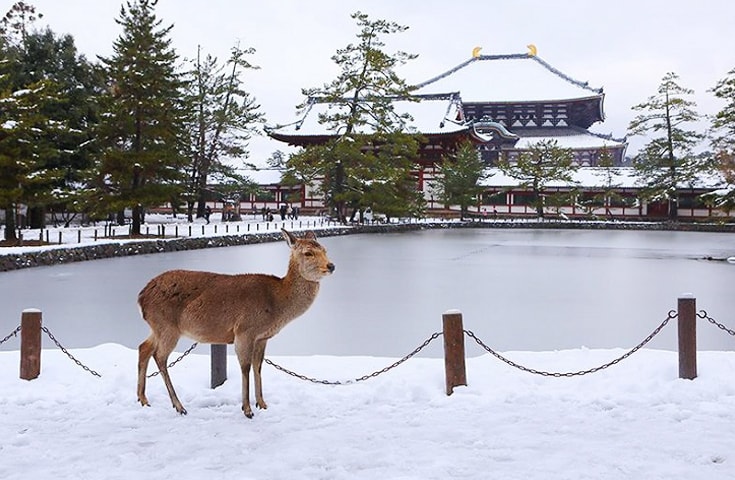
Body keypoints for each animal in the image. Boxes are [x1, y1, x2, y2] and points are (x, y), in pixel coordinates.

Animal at [136, 229, 336, 416]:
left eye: (325, 249)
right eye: (308, 253)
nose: (331, 265)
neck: (276, 305)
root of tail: (141, 297)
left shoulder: (262, 337)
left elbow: (258, 366)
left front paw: (262, 404)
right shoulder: (244, 330)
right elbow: (245, 367)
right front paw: (247, 409)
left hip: (157, 327)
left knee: (144, 347)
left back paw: (143, 399)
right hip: (167, 326)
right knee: (159, 356)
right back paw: (179, 406)